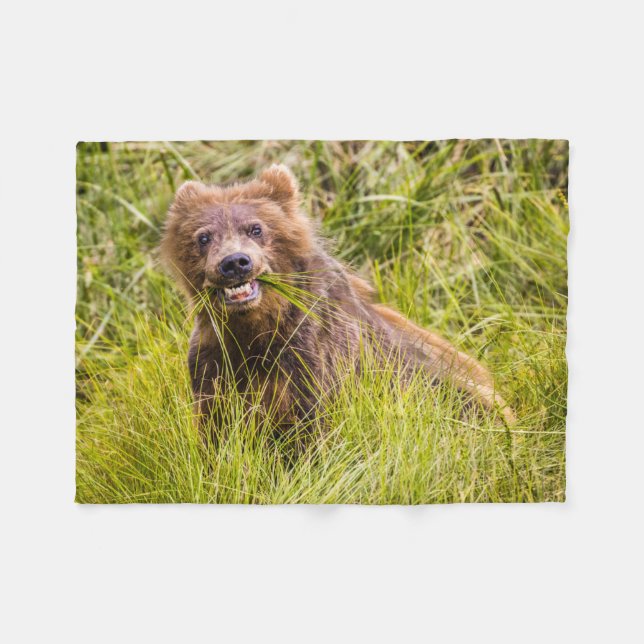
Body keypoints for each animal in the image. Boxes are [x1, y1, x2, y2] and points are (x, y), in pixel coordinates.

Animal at [160, 164, 515, 441]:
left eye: (256, 228)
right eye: (203, 237)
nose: (234, 263)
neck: (255, 328)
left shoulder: (310, 354)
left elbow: (311, 427)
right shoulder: (214, 358)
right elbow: (215, 427)